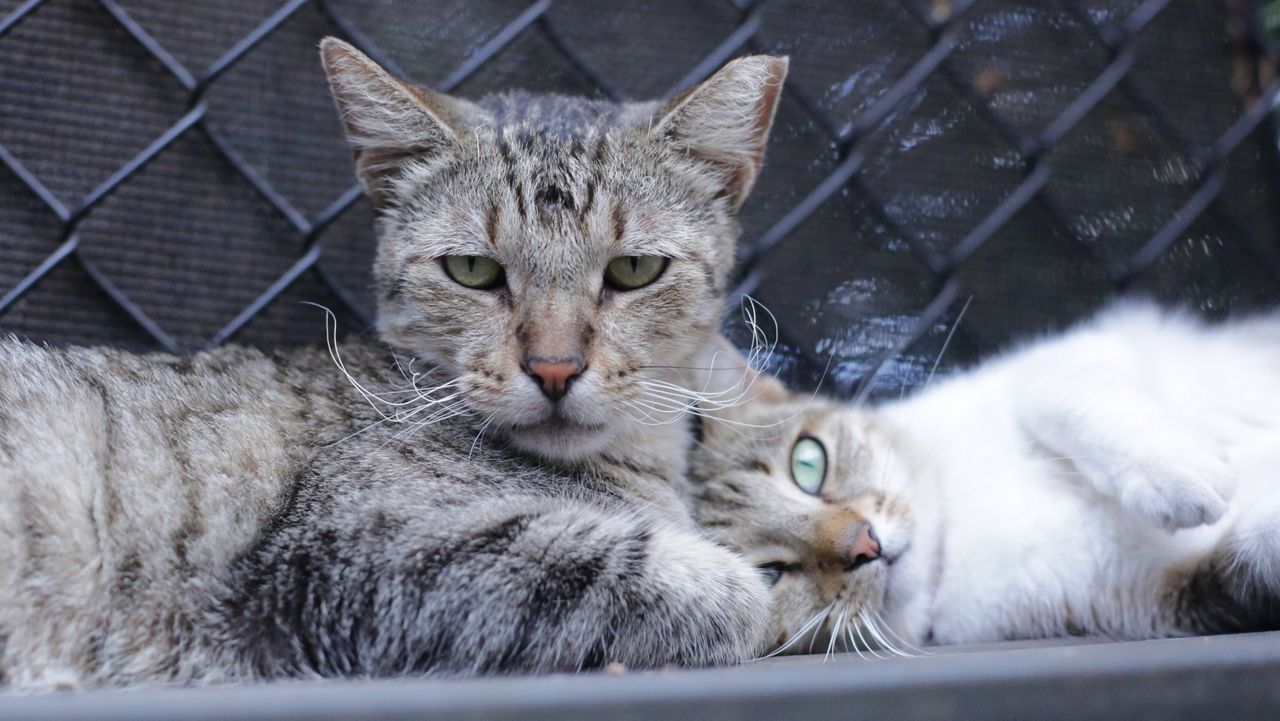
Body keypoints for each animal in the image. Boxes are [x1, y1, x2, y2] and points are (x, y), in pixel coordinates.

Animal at [691, 304, 1280, 655]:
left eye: (807, 463)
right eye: (768, 575)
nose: (866, 544)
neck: (960, 540)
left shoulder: (1092, 345)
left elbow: (1051, 388)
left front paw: (1180, 469)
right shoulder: (1173, 592)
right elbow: (1257, 549)